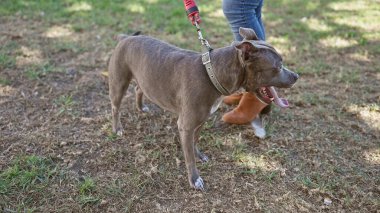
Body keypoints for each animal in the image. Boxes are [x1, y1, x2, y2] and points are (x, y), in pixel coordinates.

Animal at [108, 27, 298, 190]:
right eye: (278, 67)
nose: (296, 76)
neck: (212, 74)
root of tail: (126, 37)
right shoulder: (186, 126)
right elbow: (189, 157)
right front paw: (194, 179)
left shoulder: (201, 120)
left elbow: (195, 141)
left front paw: (198, 154)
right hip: (119, 82)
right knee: (115, 106)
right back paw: (117, 128)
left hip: (144, 80)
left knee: (138, 89)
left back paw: (141, 108)